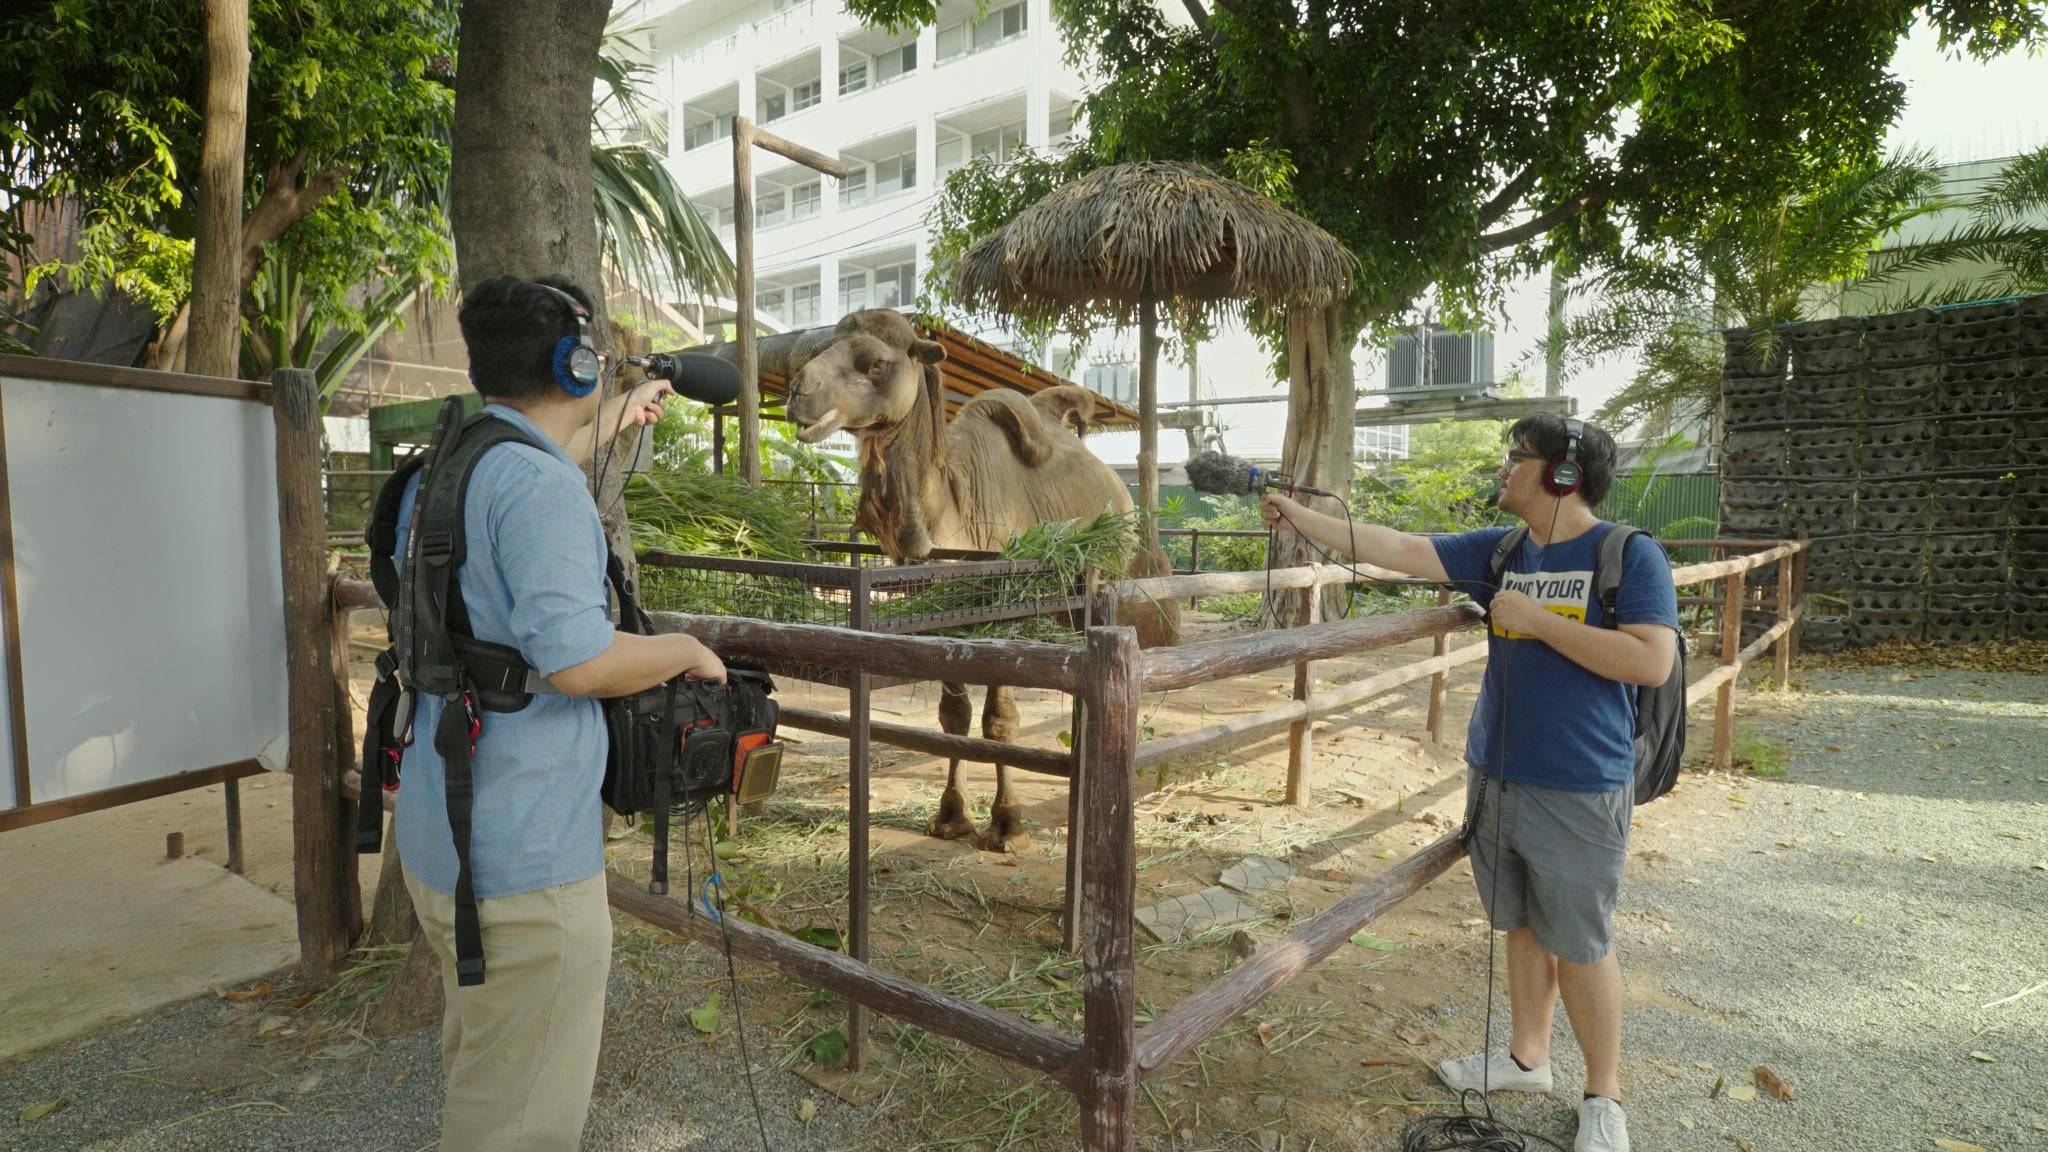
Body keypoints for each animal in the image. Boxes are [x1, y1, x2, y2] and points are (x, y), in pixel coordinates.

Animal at [778, 309, 1171, 848]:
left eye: (876, 362)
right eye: (817, 351)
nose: (799, 392)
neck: (949, 516)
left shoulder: (1005, 616)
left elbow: (1000, 723)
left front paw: (1007, 824)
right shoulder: (942, 619)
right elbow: (954, 717)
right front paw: (951, 815)